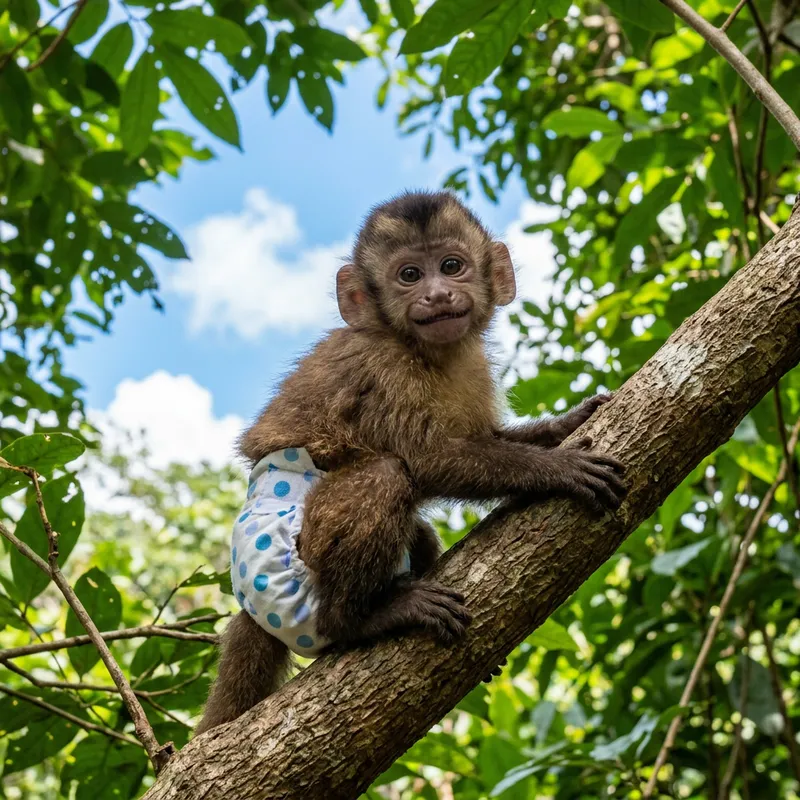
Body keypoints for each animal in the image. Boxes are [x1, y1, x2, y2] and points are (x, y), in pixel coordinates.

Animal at [195, 190, 626, 735]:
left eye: (451, 266)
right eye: (409, 275)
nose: (438, 295)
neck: (422, 350)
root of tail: (251, 607)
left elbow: (484, 439)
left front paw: (568, 422)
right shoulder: (384, 367)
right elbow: (427, 460)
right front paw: (561, 469)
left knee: (415, 529)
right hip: (282, 569)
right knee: (384, 476)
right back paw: (357, 620)